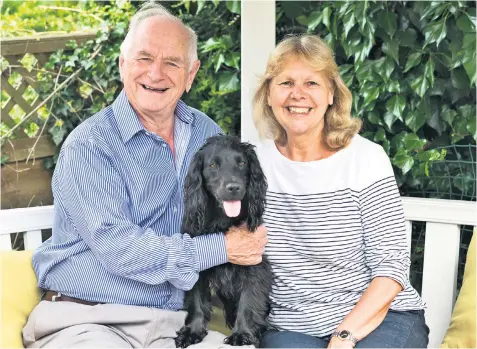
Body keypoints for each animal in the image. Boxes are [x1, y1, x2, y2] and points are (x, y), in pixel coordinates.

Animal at [175, 135, 272, 346]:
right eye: (213, 165)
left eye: (242, 163)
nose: (233, 188)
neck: (223, 222)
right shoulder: (195, 258)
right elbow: (196, 299)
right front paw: (192, 331)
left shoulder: (254, 264)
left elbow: (248, 301)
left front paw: (242, 334)